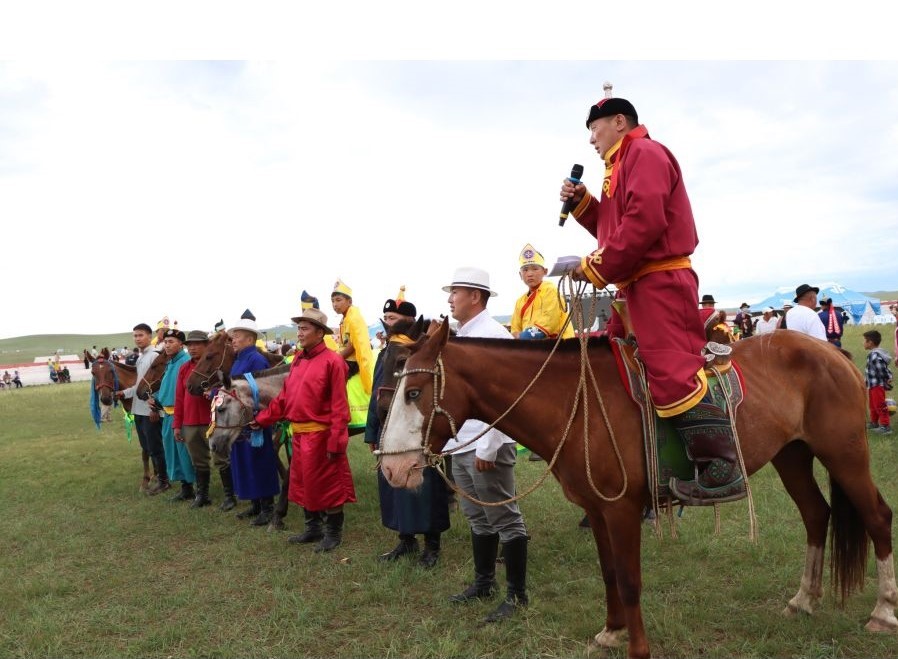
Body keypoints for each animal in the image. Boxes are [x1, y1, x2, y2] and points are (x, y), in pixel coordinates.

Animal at [377, 322, 897, 659]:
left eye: (414, 393)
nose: (393, 468)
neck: (579, 403)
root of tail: (831, 352)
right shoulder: (598, 509)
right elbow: (610, 574)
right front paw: (611, 633)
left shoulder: (623, 509)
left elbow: (629, 579)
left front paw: (637, 647)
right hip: (792, 455)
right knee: (816, 515)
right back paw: (804, 600)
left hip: (844, 452)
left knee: (877, 518)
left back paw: (883, 611)